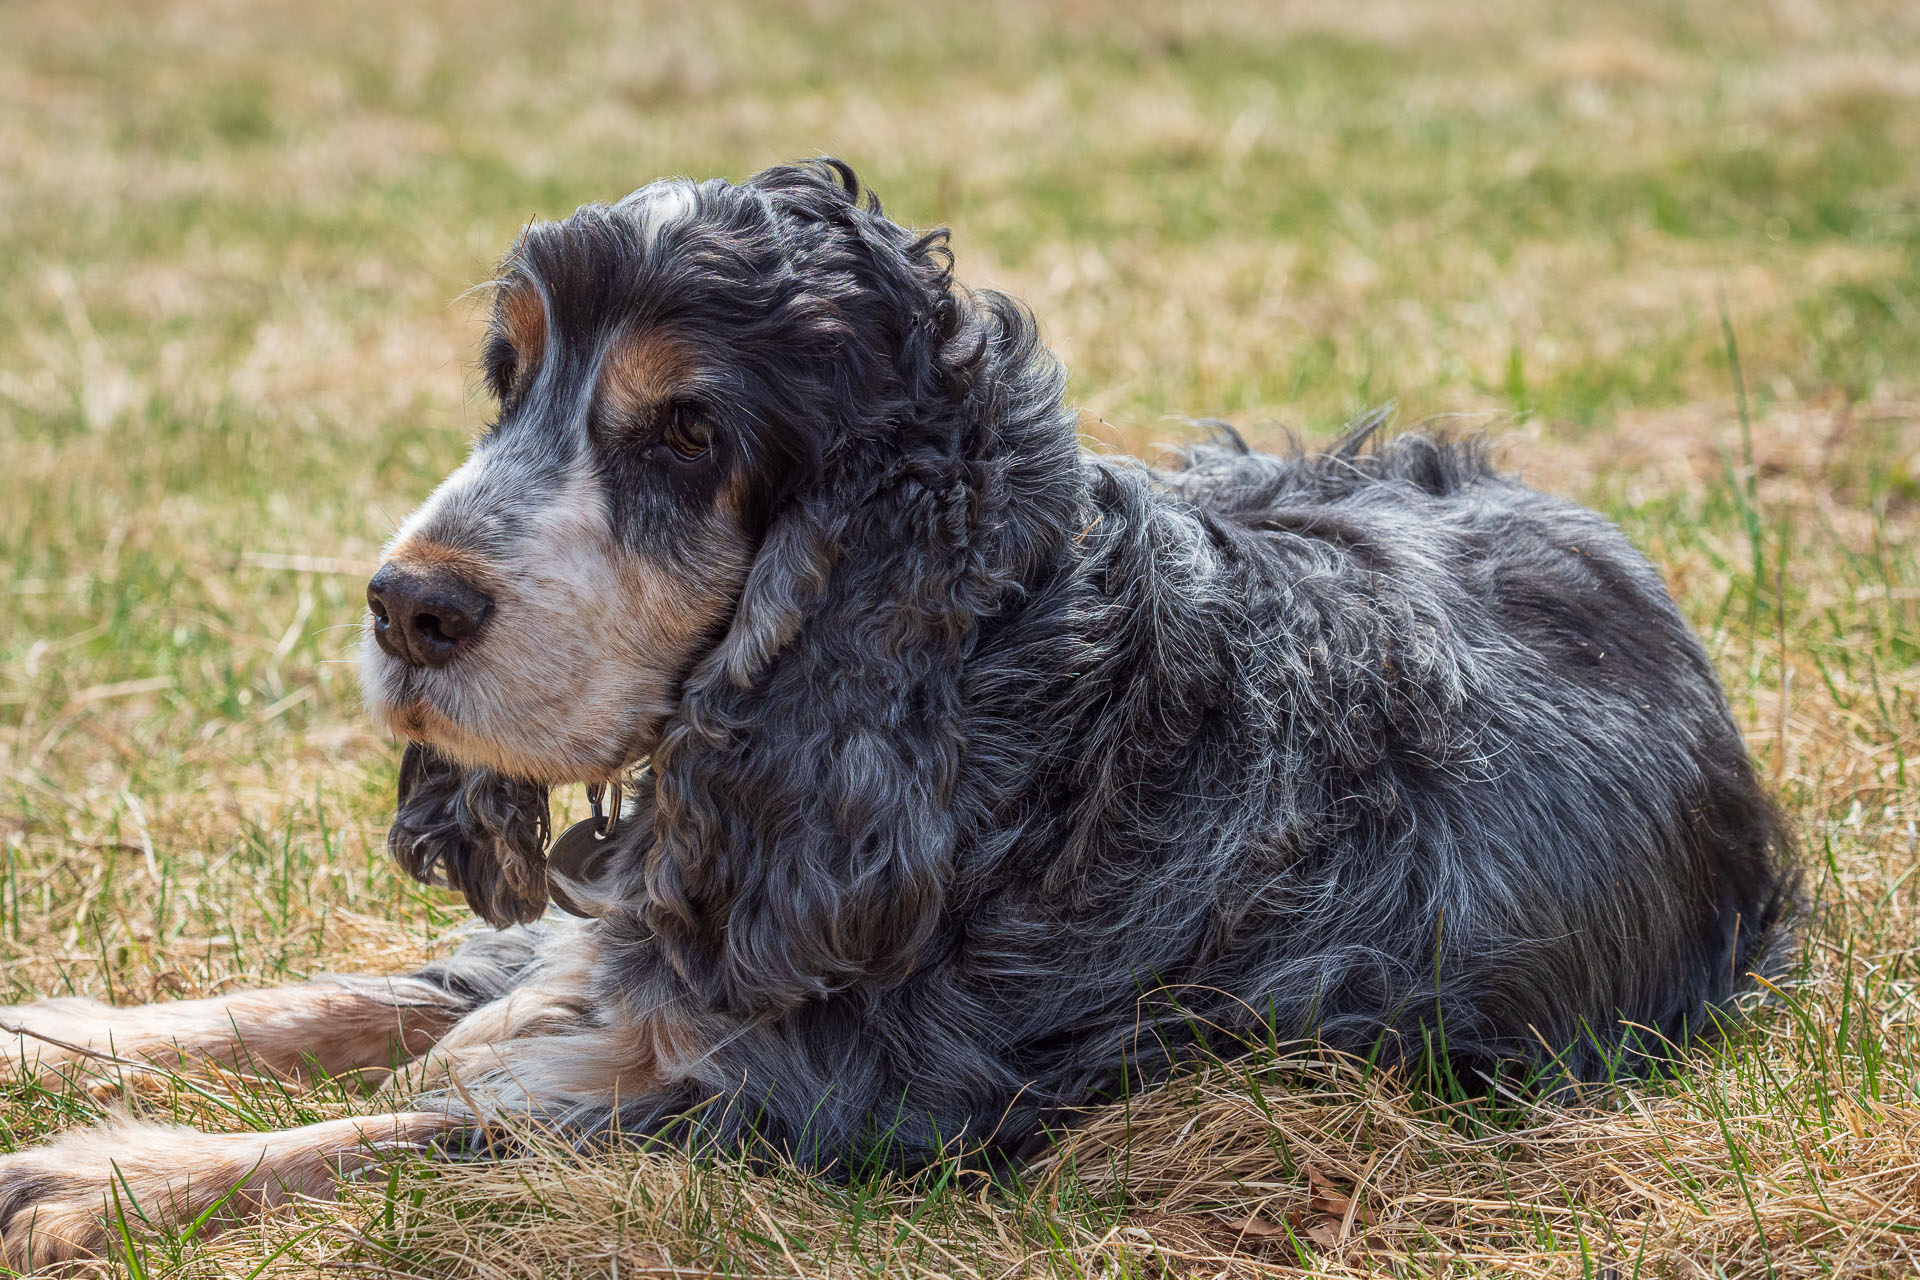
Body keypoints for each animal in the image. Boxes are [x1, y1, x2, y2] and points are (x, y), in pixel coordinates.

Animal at [3, 157, 1797, 1258]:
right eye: (508, 380)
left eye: (686, 436)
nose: (404, 605)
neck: (994, 712)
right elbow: (349, 998)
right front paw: (60, 1038)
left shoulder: (819, 1117)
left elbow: (426, 1131)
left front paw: (110, 1177)